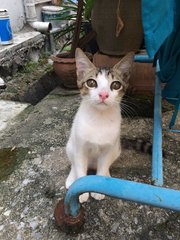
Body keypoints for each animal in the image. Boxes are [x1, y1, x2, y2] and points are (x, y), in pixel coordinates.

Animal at [65, 47, 134, 203]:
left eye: (115, 85)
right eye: (91, 83)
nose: (103, 94)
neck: (99, 119)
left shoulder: (109, 148)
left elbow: (102, 167)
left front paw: (99, 188)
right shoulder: (80, 149)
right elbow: (80, 169)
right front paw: (81, 192)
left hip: (116, 149)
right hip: (70, 145)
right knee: (74, 163)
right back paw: (72, 178)